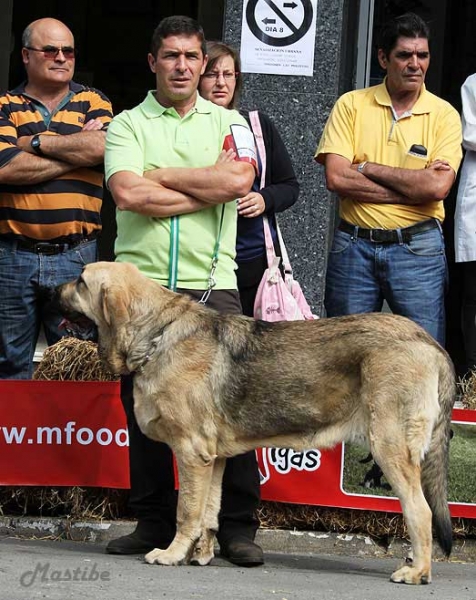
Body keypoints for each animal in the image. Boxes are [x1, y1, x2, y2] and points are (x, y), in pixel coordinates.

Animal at [55, 260, 454, 584]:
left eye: (81, 281)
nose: (51, 289)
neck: (157, 333)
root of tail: (431, 343)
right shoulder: (213, 459)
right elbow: (209, 512)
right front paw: (201, 555)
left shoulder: (191, 454)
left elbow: (187, 511)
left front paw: (171, 554)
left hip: (389, 447)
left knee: (420, 511)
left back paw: (416, 571)